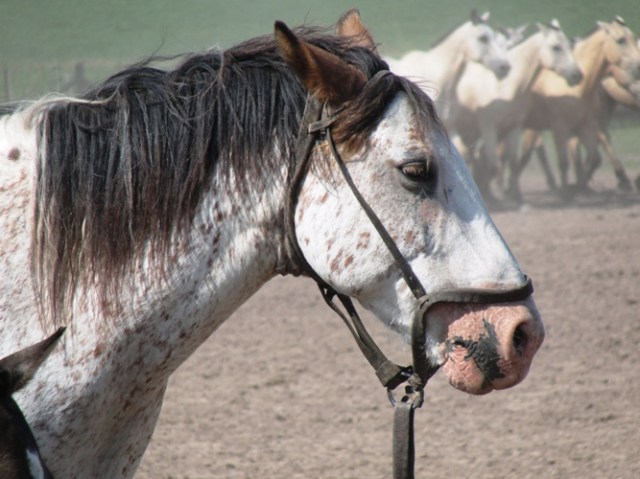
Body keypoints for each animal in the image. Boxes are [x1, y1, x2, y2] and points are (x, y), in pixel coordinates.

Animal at [449, 19, 582, 203]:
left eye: (570, 45)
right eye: (556, 47)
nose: (577, 75)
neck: (504, 87)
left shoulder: (514, 127)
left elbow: (512, 161)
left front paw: (516, 196)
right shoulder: (490, 129)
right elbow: (494, 163)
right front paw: (498, 197)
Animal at [507, 17, 640, 200]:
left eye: (633, 38)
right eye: (621, 40)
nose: (638, 66)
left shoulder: (585, 125)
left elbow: (592, 156)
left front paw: (579, 186)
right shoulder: (559, 127)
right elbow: (555, 158)